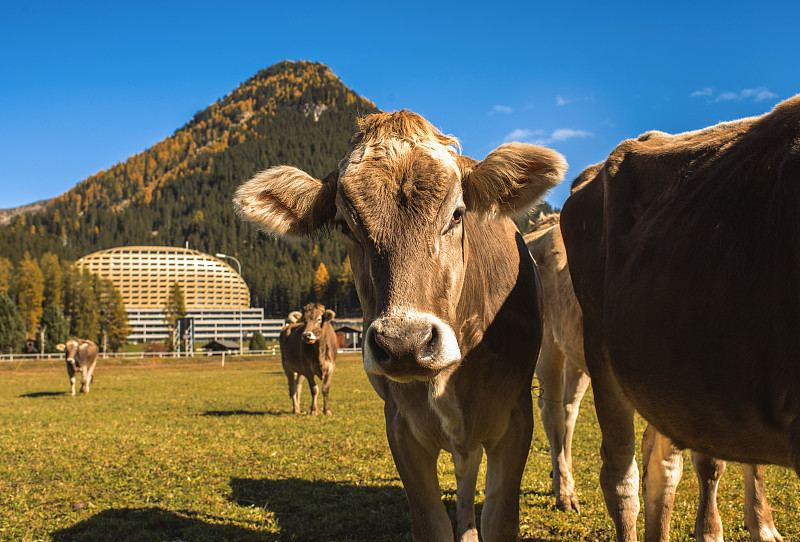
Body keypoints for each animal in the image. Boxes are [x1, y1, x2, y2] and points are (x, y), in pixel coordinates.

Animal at [233, 108, 568, 540]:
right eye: (345, 224)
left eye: (457, 213)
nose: (405, 344)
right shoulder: (400, 427)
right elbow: (430, 524)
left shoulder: (515, 418)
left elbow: (499, 520)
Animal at [524, 215, 780, 542]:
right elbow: (710, 464)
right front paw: (710, 530)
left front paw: (762, 524)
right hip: (548, 345)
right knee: (553, 413)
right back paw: (565, 492)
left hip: (579, 357)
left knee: (570, 412)